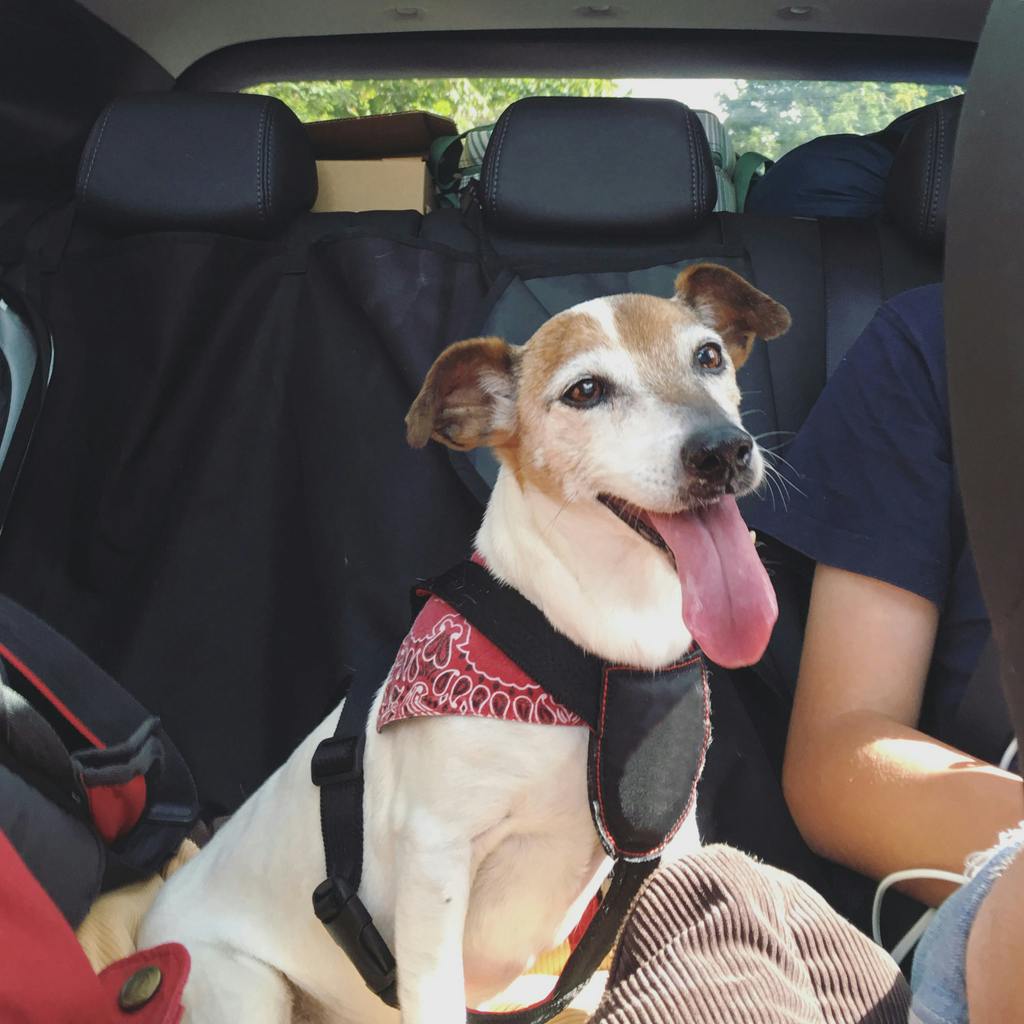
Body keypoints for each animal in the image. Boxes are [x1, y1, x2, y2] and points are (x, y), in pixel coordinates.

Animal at [138, 266, 790, 1024]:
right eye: (585, 391)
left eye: (709, 356)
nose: (721, 451)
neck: (597, 654)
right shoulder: (437, 855)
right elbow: (435, 987)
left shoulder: (667, 847)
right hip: (244, 986)